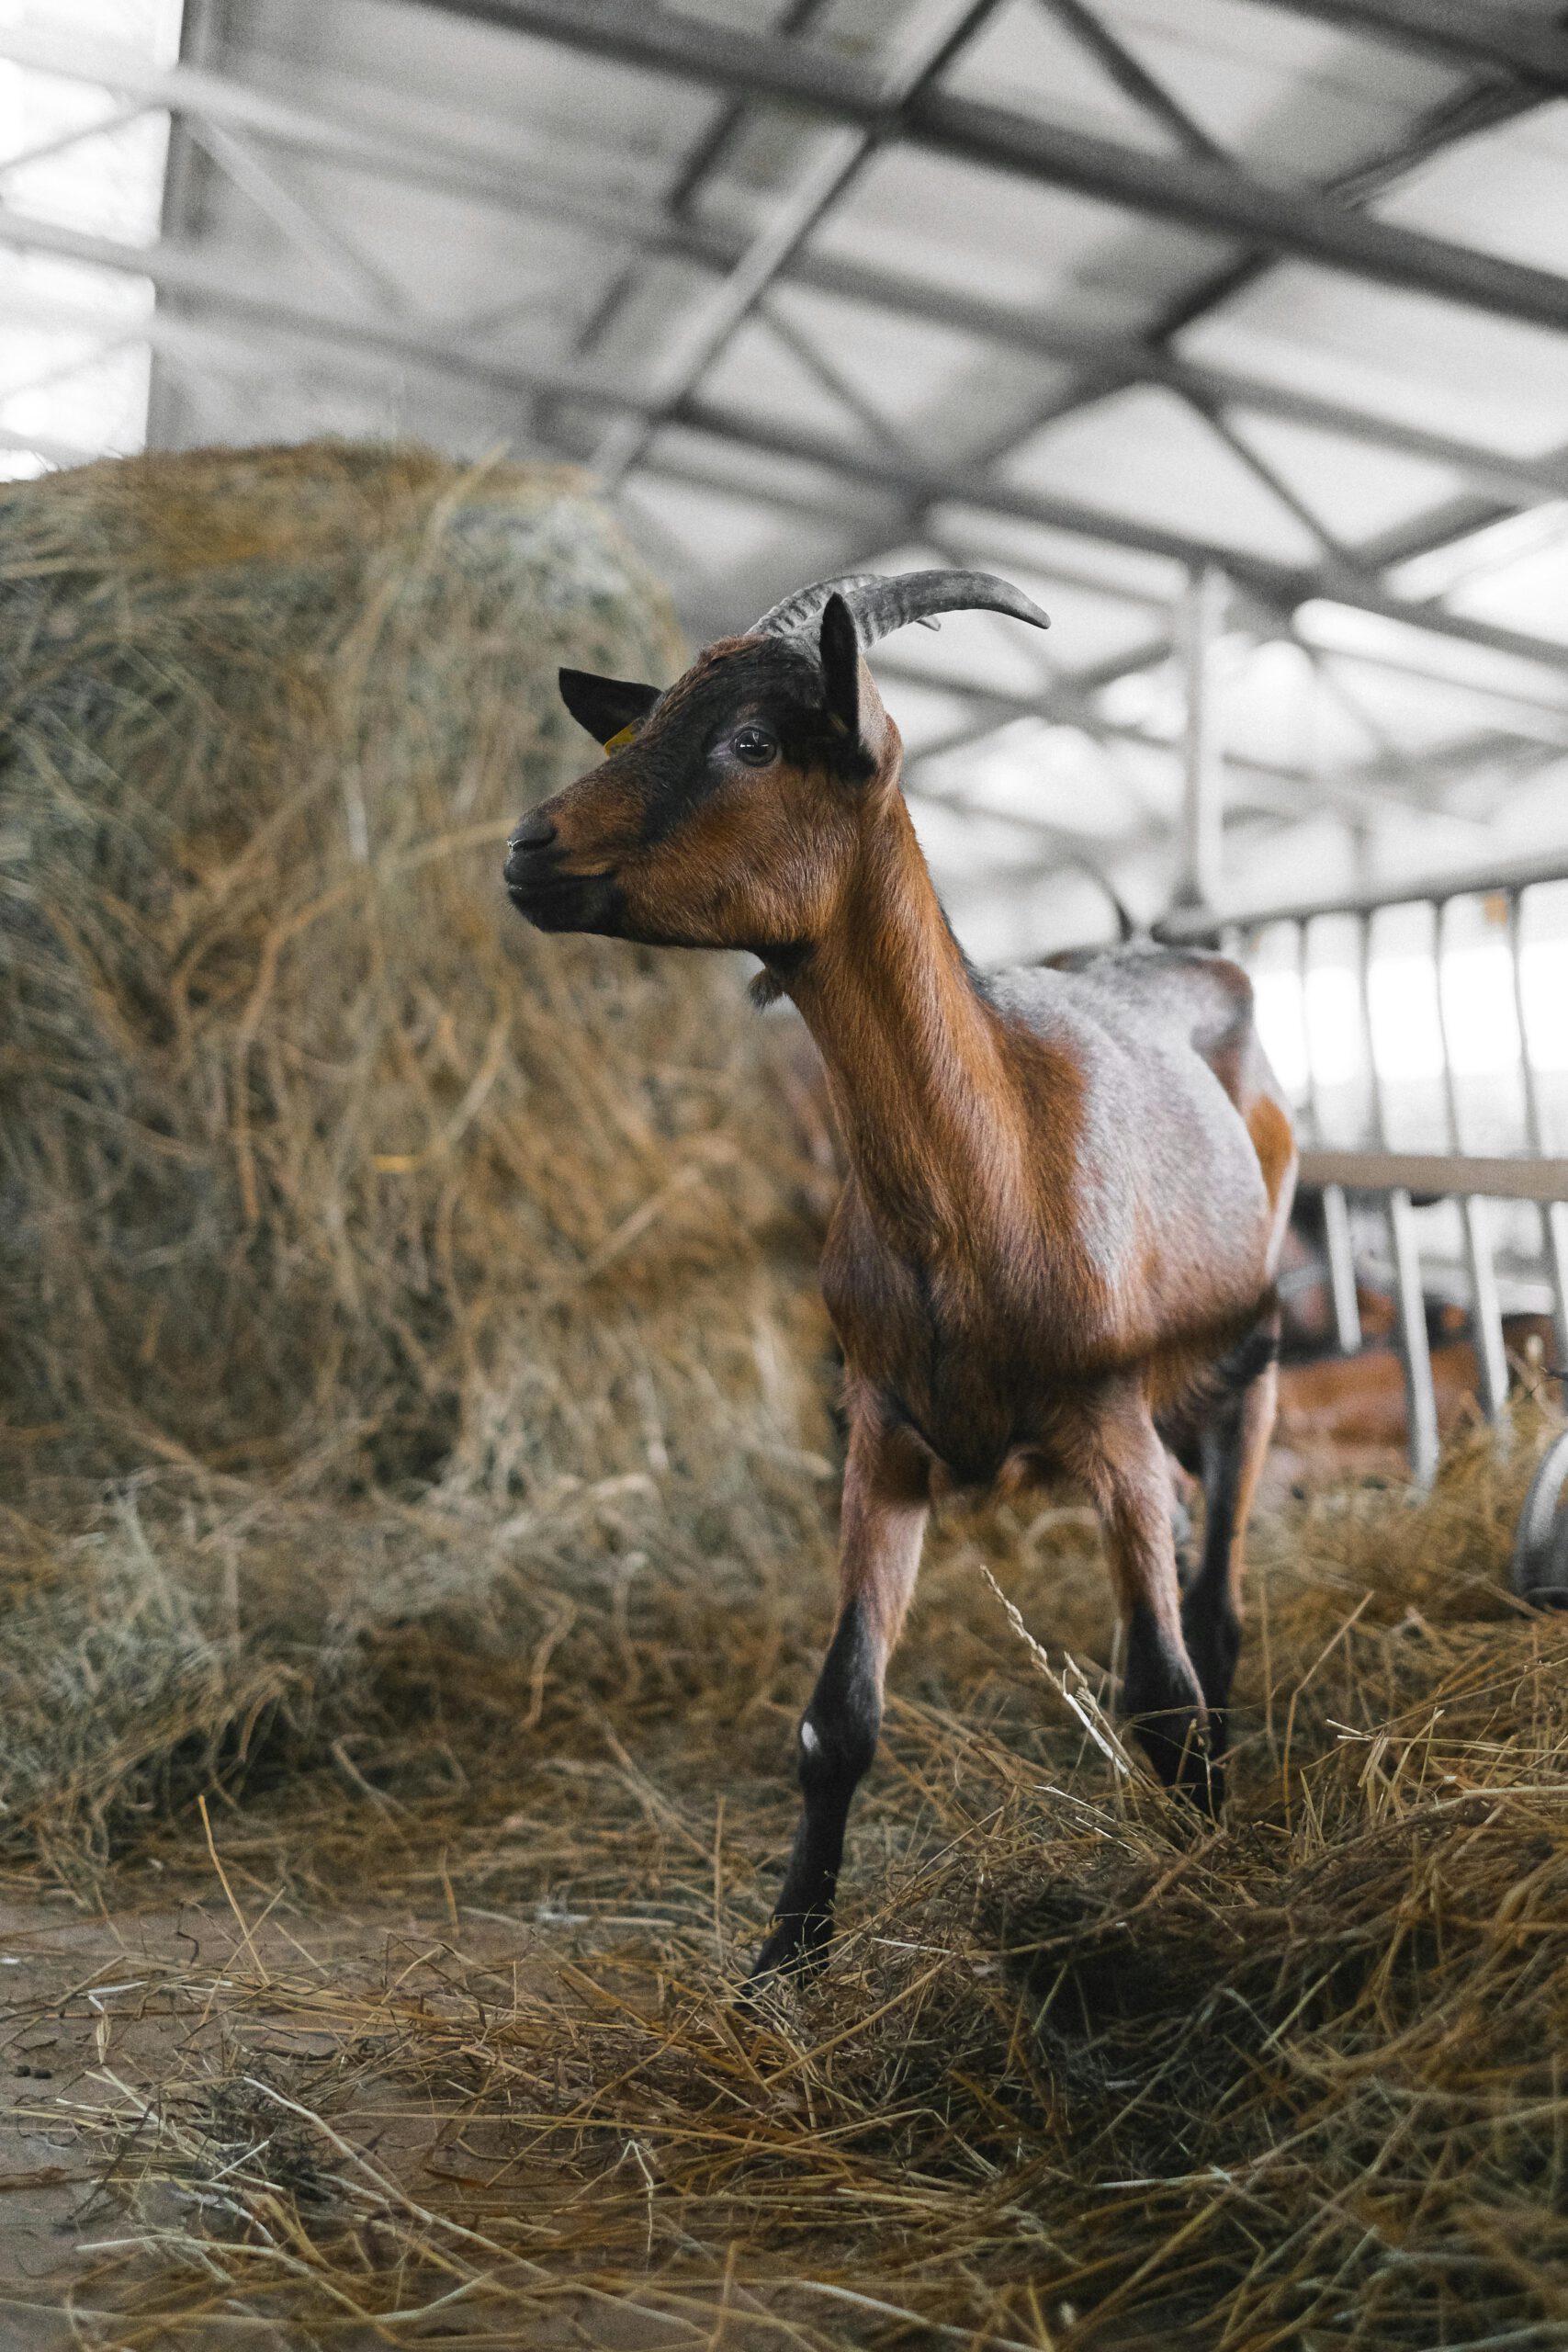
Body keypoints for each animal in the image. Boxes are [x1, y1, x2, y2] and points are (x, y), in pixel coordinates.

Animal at [504, 571, 1297, 1979]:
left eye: (754, 741)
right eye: (645, 718)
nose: (528, 848)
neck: (989, 1171)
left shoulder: (1110, 1429)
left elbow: (1159, 1693)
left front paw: (1196, 1883)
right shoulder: (877, 1432)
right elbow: (837, 1719)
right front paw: (782, 1962)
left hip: (1244, 1361)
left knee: (1214, 1609)